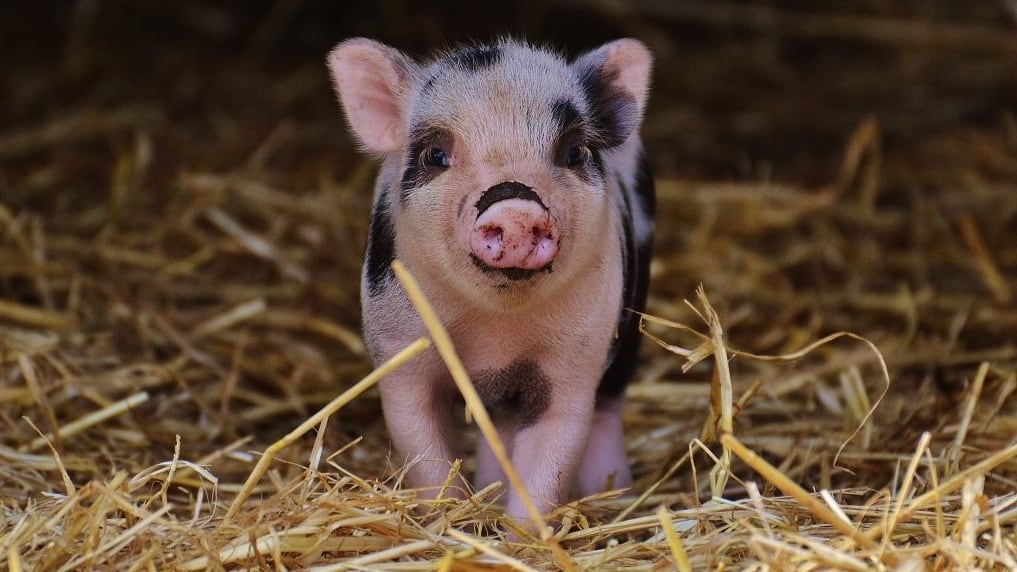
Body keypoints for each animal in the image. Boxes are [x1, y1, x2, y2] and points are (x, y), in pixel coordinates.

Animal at [329, 36, 654, 525]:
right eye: (435, 154)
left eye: (574, 152)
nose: (515, 206)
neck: (495, 334)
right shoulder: (400, 352)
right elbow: (424, 453)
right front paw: (450, 522)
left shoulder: (575, 362)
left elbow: (550, 459)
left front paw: (521, 534)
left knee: (607, 409)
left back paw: (614, 497)